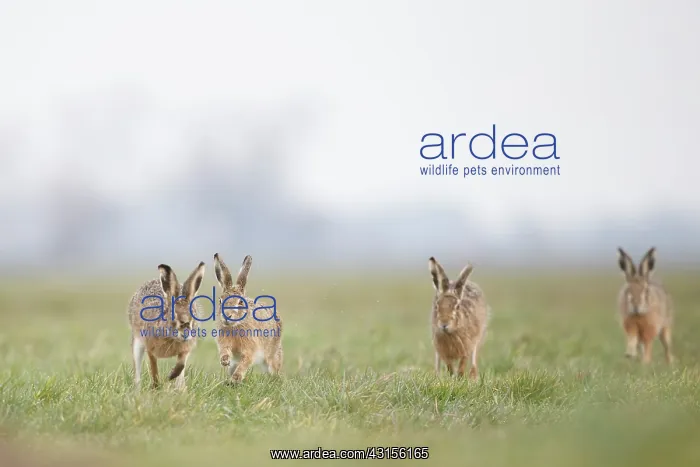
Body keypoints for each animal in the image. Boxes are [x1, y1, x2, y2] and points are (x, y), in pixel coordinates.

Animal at [127, 261, 206, 390]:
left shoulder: (185, 348)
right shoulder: (150, 346)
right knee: (137, 369)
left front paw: (170, 376)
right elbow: (154, 368)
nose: (185, 333)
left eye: (193, 315)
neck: (172, 337)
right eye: (173, 315)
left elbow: (181, 365)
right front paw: (156, 386)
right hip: (137, 342)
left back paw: (181, 389)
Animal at [213, 253, 283, 384]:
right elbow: (225, 351)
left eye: (240, 302)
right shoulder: (224, 342)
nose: (227, 316)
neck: (235, 325)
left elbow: (246, 361)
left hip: (272, 354)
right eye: (220, 300)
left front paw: (235, 379)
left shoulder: (251, 347)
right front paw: (225, 361)